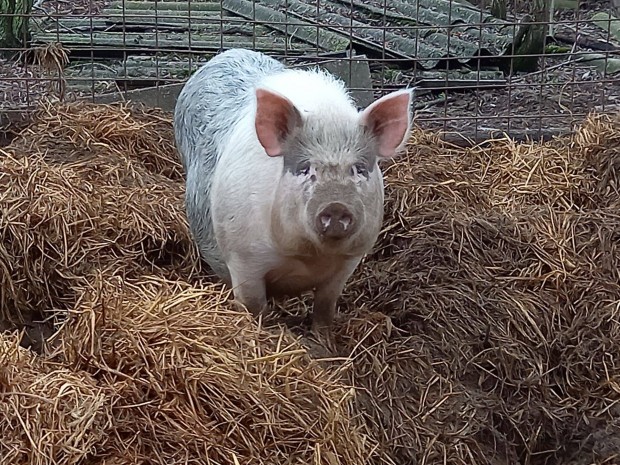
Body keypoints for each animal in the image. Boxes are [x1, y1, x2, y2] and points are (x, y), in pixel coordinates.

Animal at [172, 48, 414, 334]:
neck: (308, 257)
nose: (335, 205)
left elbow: (325, 308)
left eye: (359, 168)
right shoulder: (243, 258)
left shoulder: (348, 262)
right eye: (304, 168)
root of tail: (229, 52)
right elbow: (254, 307)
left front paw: (324, 340)